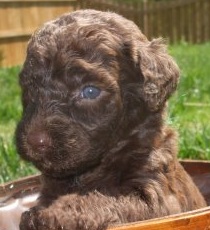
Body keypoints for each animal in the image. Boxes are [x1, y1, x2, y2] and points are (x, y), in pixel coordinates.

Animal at [16, 9, 207, 230]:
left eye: (90, 91)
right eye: (30, 88)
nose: (34, 141)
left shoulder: (154, 196)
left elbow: (102, 199)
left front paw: (51, 214)